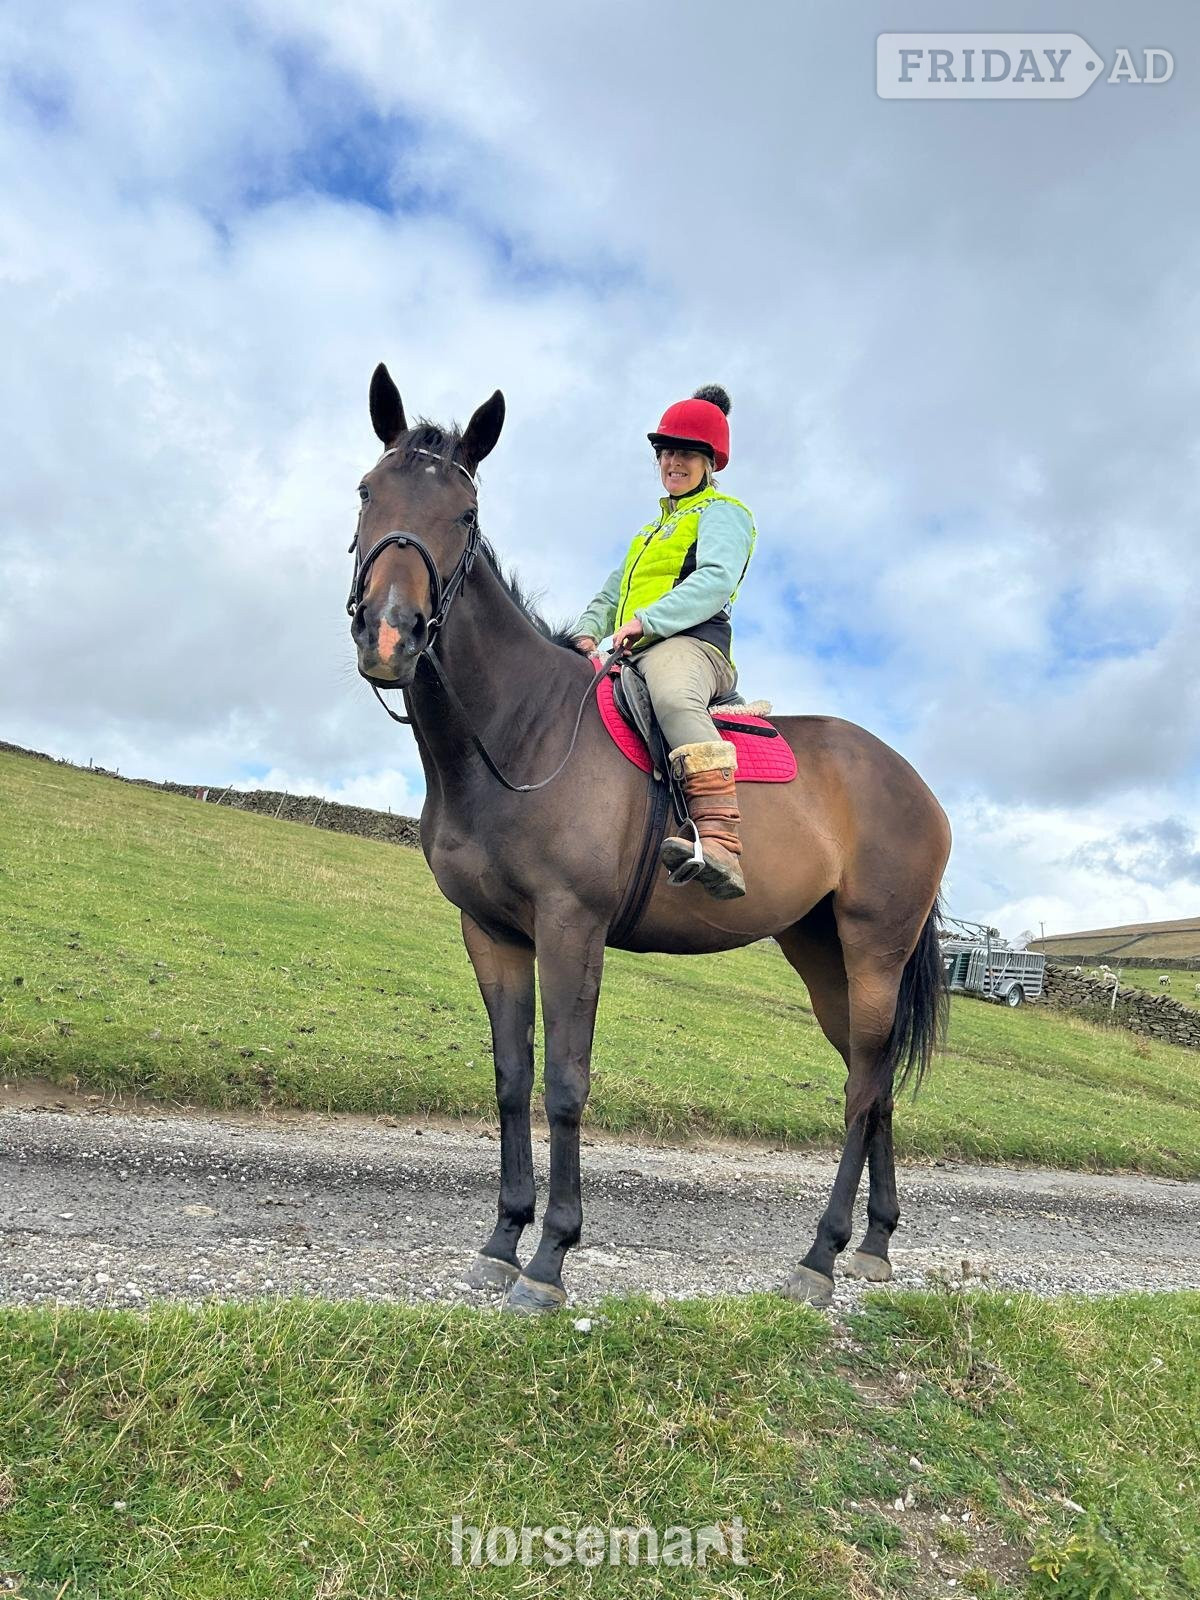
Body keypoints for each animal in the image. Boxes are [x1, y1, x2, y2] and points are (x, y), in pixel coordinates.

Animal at [348, 365, 952, 1314]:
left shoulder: (572, 928)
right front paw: (502, 1240)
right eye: (369, 492)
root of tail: (914, 784)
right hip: (825, 958)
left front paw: (550, 1259)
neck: (520, 732)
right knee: (878, 1078)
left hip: (874, 950)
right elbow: (512, 1079)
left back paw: (819, 1256)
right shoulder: (491, 934)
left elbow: (565, 1083)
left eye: (467, 516)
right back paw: (874, 1243)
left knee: (861, 1088)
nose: (389, 633)